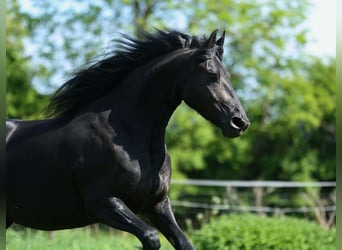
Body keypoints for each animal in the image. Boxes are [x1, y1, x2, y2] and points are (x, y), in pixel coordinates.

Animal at [6, 28, 248, 248]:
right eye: (212, 74)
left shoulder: (157, 205)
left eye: (228, 76)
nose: (240, 122)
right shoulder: (102, 204)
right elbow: (151, 237)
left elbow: (184, 243)